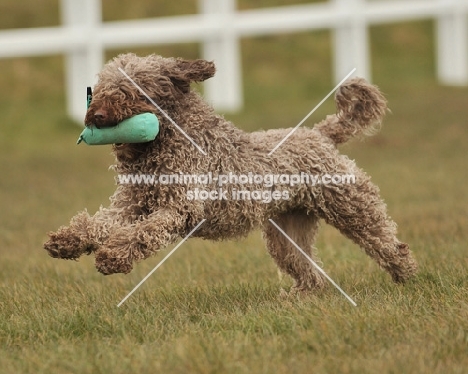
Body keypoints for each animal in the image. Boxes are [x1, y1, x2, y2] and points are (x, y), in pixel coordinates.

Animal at [43, 53, 416, 292]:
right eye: (101, 86)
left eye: (135, 89)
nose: (97, 115)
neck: (166, 144)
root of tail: (319, 134)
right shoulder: (130, 206)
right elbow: (98, 223)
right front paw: (67, 241)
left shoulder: (180, 209)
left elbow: (143, 233)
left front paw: (113, 256)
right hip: (286, 231)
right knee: (309, 271)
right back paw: (301, 297)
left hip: (353, 206)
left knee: (387, 244)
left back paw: (406, 276)